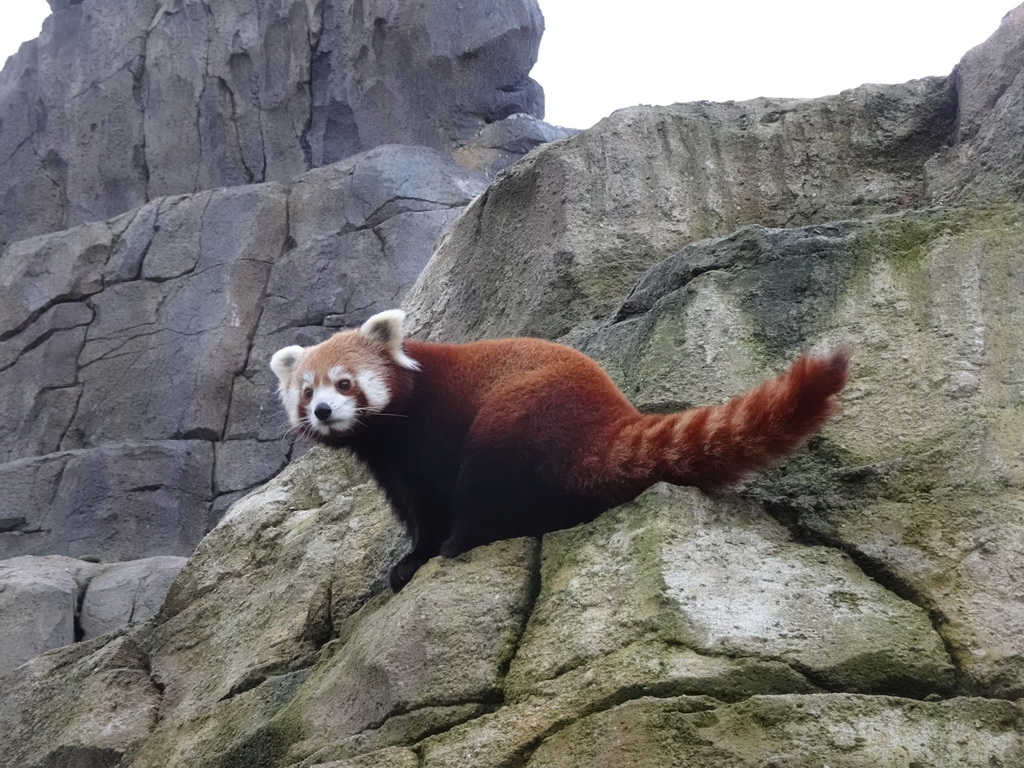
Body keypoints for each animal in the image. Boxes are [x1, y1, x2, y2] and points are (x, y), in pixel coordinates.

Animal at [270, 309, 847, 593]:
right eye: (307, 391)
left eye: (345, 383)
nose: (323, 411)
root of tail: (608, 416)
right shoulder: (392, 465)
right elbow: (413, 506)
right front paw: (410, 554)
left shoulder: (428, 434)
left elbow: (433, 505)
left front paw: (419, 558)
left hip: (521, 416)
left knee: (487, 489)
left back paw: (460, 542)